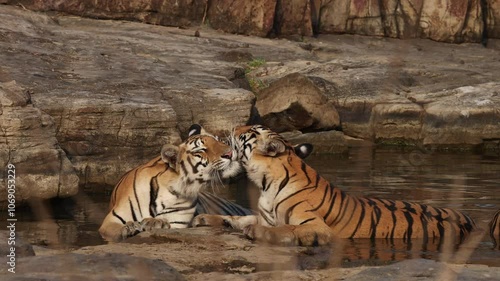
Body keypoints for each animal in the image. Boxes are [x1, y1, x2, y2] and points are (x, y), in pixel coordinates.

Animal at [191, 124, 476, 245]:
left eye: (248, 133)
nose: (234, 126)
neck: (265, 184)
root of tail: (470, 220)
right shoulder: (263, 215)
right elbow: (240, 218)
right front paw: (204, 218)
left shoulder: (316, 226)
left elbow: (286, 229)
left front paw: (256, 232)